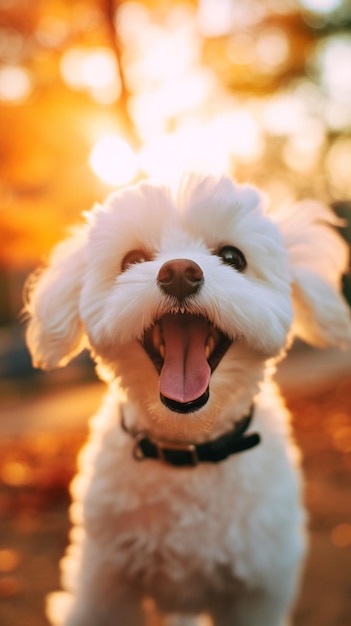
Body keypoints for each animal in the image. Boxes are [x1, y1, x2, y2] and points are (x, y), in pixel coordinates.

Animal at [24, 172, 351, 624]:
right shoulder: (105, 583)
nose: (179, 271)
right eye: (131, 259)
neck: (188, 449)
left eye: (232, 257)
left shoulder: (256, 589)